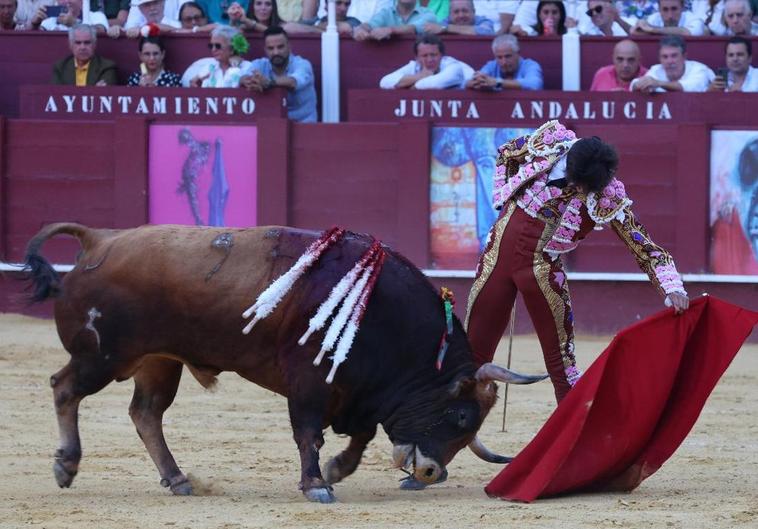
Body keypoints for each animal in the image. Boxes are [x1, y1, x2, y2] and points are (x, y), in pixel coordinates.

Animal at [23, 223, 548, 504]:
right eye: (459, 415)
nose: (431, 473)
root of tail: (98, 239)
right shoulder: (310, 381)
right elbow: (309, 432)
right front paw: (316, 484)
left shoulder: (356, 391)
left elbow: (360, 436)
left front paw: (335, 470)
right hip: (102, 356)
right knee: (64, 387)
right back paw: (66, 465)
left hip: (158, 361)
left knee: (146, 413)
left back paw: (177, 479)